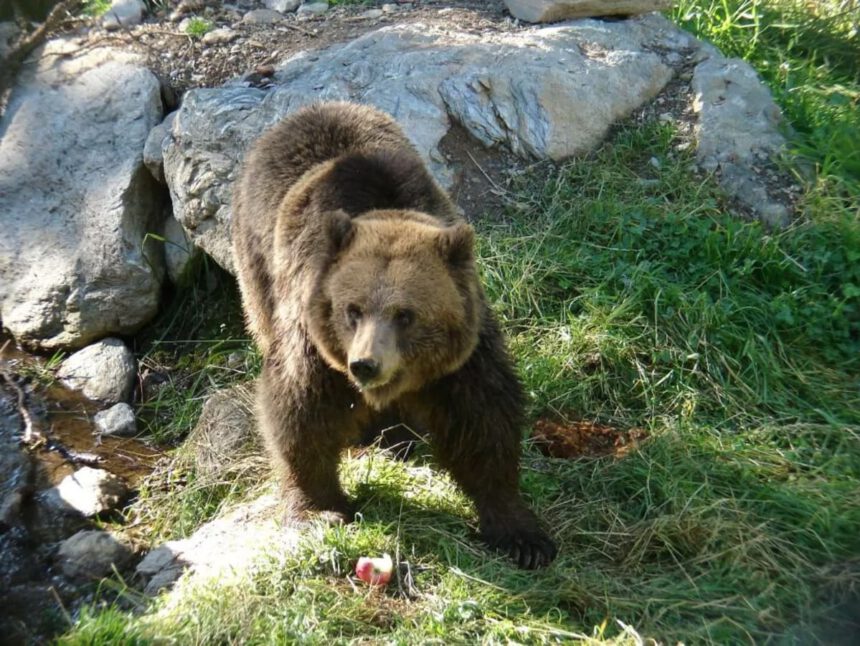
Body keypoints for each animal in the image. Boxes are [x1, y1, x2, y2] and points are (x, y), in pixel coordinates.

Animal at [232, 102, 557, 569]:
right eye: (352, 310)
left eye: (405, 315)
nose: (365, 365)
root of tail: (306, 110)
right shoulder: (314, 338)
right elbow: (300, 411)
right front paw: (319, 510)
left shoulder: (463, 357)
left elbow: (483, 421)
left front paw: (522, 535)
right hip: (257, 263)